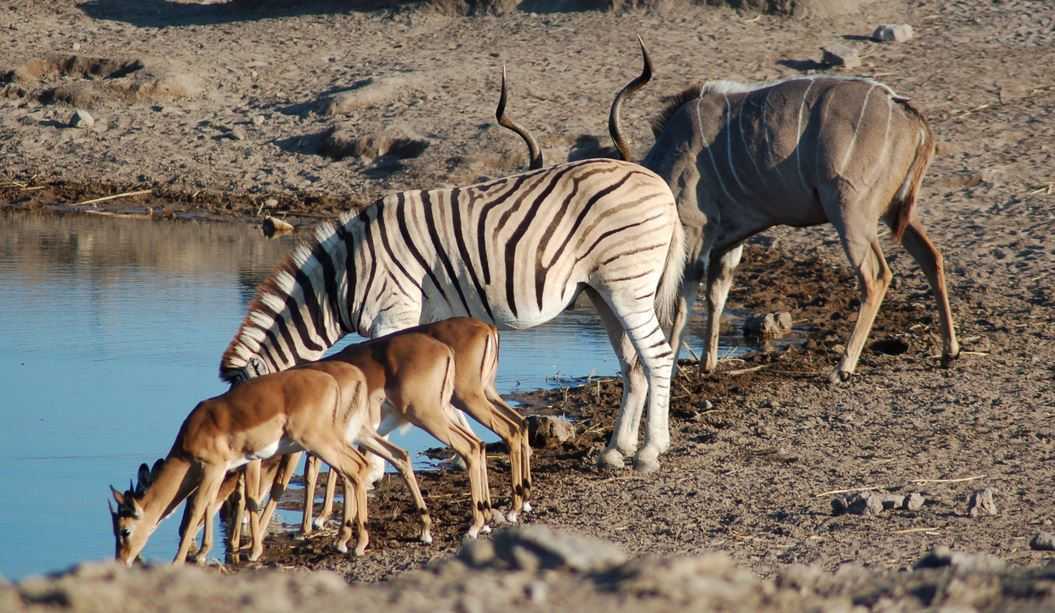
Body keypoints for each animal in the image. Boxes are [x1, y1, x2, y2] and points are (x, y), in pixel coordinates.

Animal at [218, 156, 687, 468]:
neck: (342, 278)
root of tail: (661, 186)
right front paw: (462, 451)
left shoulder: (394, 314)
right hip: (603, 290)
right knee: (633, 363)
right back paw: (616, 450)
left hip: (627, 284)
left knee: (657, 356)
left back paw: (651, 450)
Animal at [607, 45, 962, 381]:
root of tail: (905, 112)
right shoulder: (729, 240)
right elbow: (716, 294)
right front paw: (707, 364)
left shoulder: (695, 232)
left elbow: (683, 298)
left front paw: (674, 368)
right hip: (894, 211)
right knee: (932, 257)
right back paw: (949, 352)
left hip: (849, 212)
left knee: (876, 276)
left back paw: (842, 369)